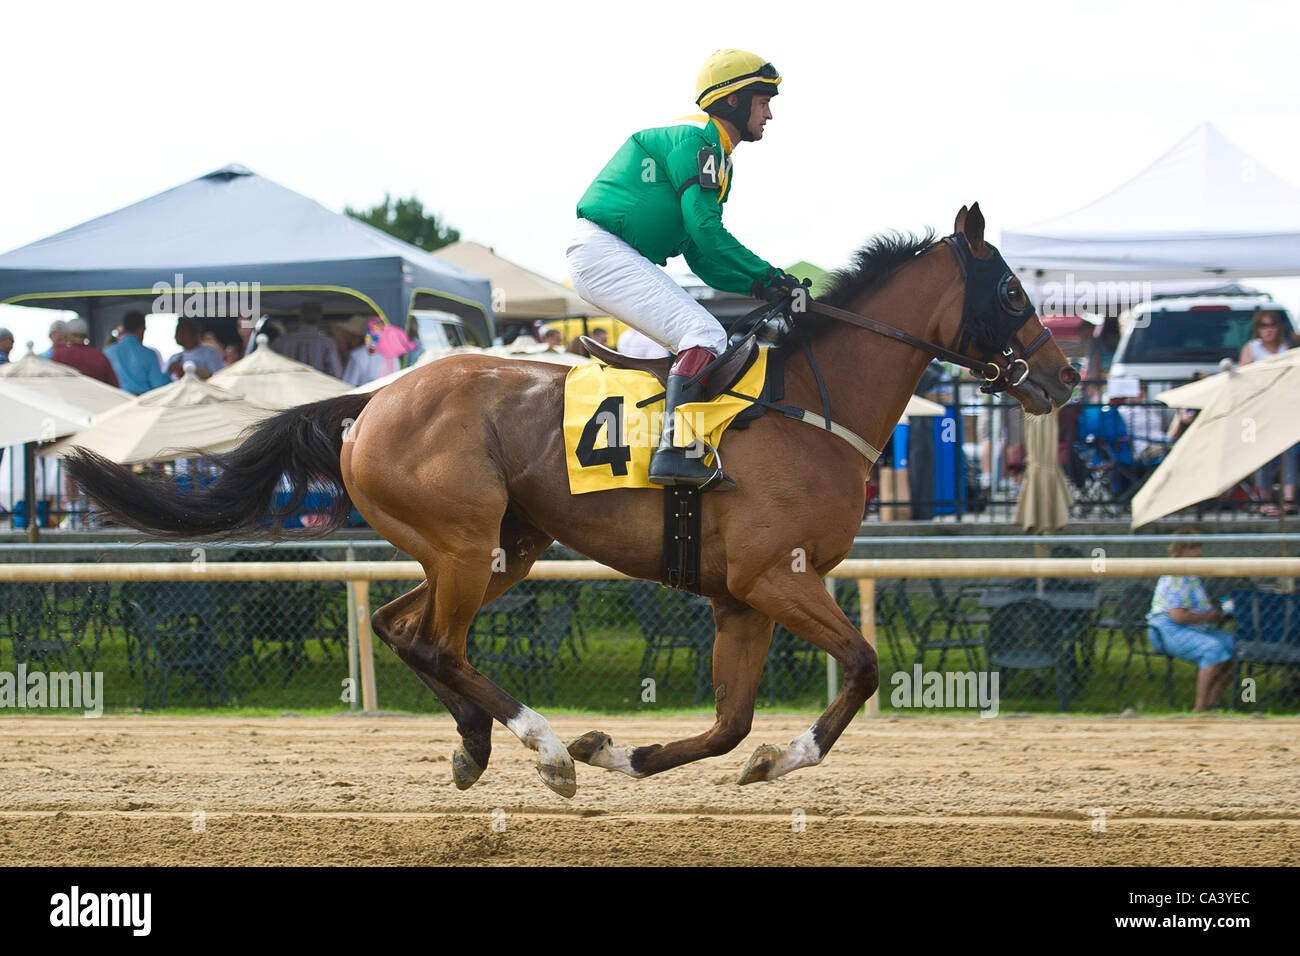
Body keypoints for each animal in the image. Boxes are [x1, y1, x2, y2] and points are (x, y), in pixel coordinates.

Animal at [65, 205, 1076, 796]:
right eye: (1011, 287)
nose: (1065, 377)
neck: (812, 407)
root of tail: (372, 402)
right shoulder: (776, 578)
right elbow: (860, 669)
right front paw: (775, 761)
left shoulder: (741, 597)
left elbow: (728, 725)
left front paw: (632, 753)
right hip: (466, 542)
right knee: (438, 641)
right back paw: (542, 747)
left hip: (499, 548)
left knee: (401, 628)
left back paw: (480, 743)